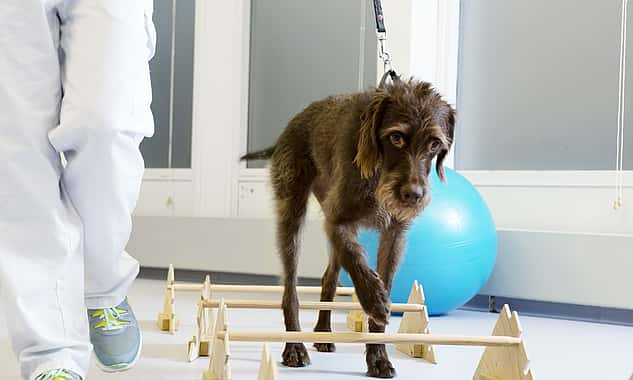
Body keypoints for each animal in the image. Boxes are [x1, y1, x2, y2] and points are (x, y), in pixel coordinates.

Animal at [242, 79, 454, 378]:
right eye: (396, 138)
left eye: (434, 143)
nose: (413, 195)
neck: (377, 172)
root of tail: (288, 129)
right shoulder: (337, 220)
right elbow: (355, 258)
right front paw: (374, 300)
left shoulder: (394, 234)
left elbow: (379, 278)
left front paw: (378, 357)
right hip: (292, 215)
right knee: (290, 290)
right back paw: (294, 345)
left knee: (328, 277)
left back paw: (323, 331)